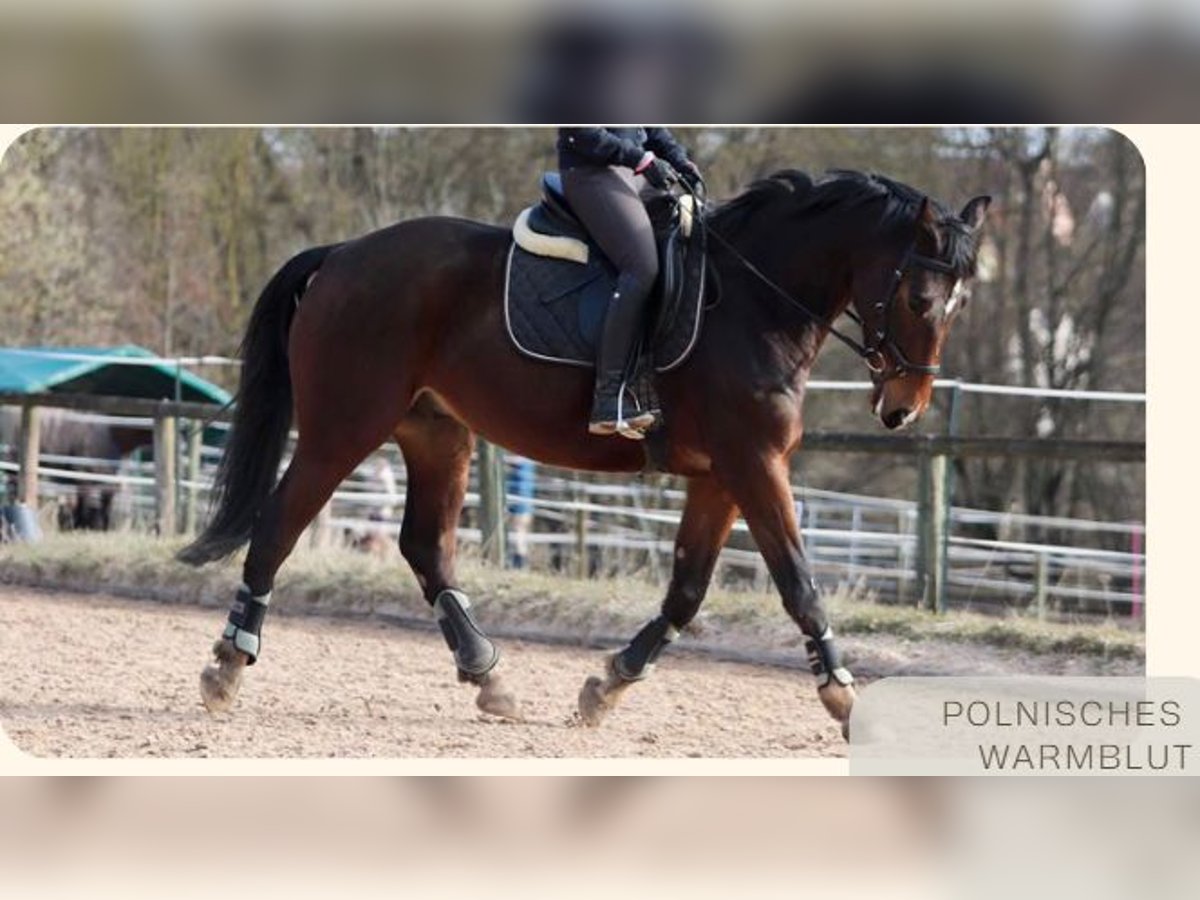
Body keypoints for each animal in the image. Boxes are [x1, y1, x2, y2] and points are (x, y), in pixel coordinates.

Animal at [175, 169, 984, 739]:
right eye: (917, 299)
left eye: (960, 306)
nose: (903, 409)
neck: (758, 304)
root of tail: (343, 254)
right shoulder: (755, 465)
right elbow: (800, 584)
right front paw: (842, 696)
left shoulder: (722, 478)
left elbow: (687, 591)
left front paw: (608, 685)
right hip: (343, 427)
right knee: (279, 524)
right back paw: (228, 663)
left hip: (437, 433)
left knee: (426, 547)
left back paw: (488, 675)